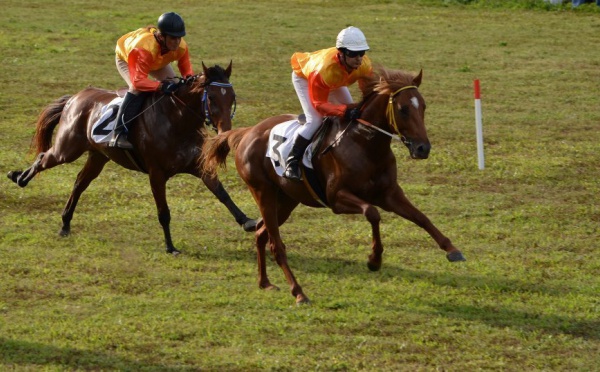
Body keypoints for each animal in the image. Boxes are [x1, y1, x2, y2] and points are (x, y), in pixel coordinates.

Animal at [7, 62, 255, 254]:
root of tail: (75, 98)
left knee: (79, 184)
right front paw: (170, 246)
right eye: (211, 97)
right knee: (44, 158)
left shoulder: (198, 165)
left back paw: (65, 223)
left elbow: (222, 193)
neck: (177, 121)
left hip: (98, 156)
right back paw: (19, 177)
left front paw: (247, 221)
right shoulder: (156, 174)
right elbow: (164, 213)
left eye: (232, 97)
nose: (225, 130)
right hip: (67, 150)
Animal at [204, 67, 466, 306]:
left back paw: (265, 282)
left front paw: (452, 249)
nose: (423, 148)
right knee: (276, 245)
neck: (364, 144)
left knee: (260, 232)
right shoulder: (337, 198)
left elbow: (421, 217)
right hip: (263, 192)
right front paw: (374, 260)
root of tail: (247, 132)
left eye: (423, 107)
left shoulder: (390, 193)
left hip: (287, 199)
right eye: (403, 109)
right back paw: (299, 293)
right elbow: (372, 213)